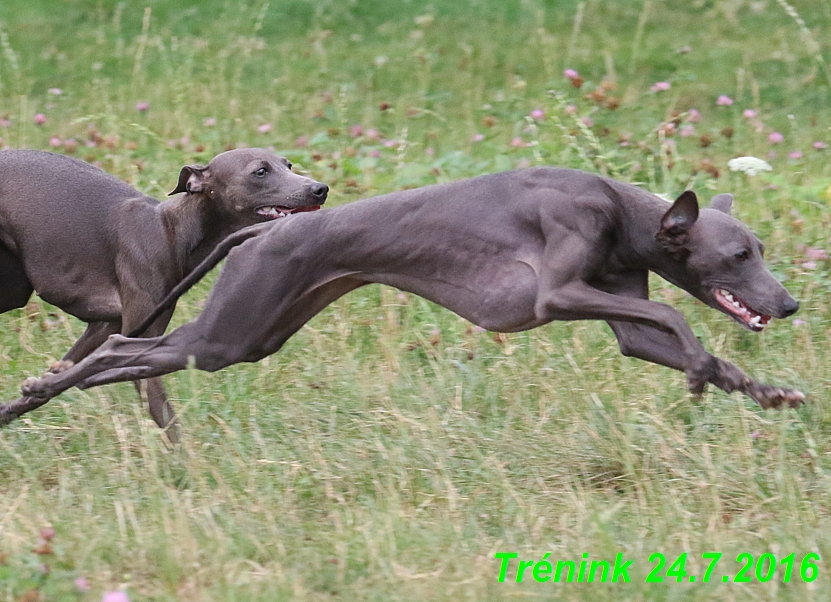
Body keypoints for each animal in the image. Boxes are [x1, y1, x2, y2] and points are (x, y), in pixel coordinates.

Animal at [0, 147, 332, 434]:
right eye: (260, 171)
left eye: (288, 165)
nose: (320, 188)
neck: (174, 229)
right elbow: (164, 415)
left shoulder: (107, 327)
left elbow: (58, 377)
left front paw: (16, 404)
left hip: (15, 288)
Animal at [14, 164, 808, 418]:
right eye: (738, 254)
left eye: (760, 251)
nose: (791, 304)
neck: (621, 211)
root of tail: (254, 237)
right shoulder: (556, 292)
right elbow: (672, 311)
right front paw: (703, 370)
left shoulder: (627, 321)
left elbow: (663, 330)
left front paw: (761, 389)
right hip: (227, 333)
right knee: (117, 346)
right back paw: (38, 390)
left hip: (250, 334)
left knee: (121, 350)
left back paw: (33, 396)